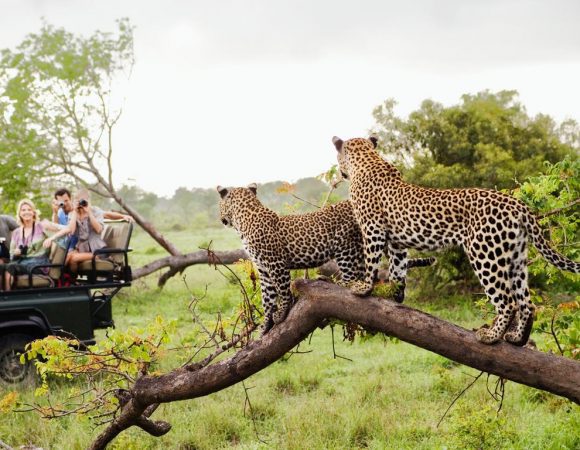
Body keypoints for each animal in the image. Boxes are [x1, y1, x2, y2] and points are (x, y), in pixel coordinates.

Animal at [218, 183, 436, 334]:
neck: (244, 219)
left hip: (346, 247)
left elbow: (283, 291)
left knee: (352, 279)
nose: (221, 219)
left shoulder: (276, 264)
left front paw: (281, 313)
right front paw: (264, 326)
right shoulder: (263, 270)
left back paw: (332, 281)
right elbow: (267, 298)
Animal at [334, 135, 576, 346]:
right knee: (526, 303)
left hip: (485, 254)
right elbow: (398, 267)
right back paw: (517, 339)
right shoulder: (397, 242)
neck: (366, 160)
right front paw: (396, 294)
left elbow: (372, 260)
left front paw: (364, 287)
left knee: (508, 301)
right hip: (515, 257)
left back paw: (491, 336)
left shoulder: (372, 228)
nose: (340, 173)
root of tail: (518, 205)